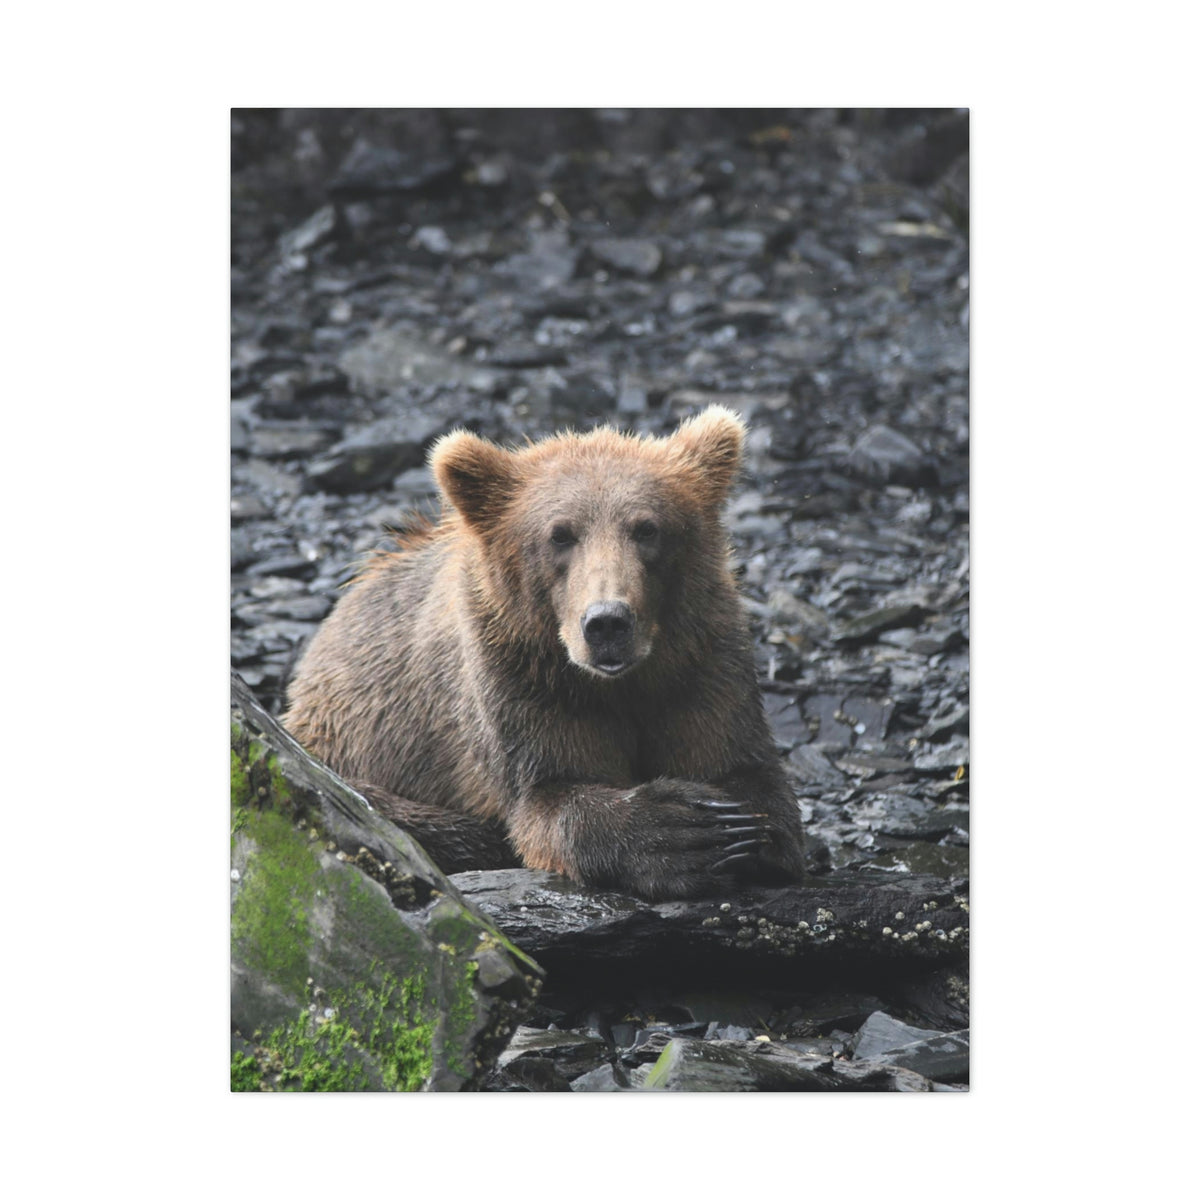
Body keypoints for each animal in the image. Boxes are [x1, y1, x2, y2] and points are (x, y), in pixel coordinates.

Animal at [283, 406, 806, 900]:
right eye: (560, 534)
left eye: (647, 529)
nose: (607, 623)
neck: (619, 683)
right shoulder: (521, 679)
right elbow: (549, 795)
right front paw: (681, 831)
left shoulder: (700, 661)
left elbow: (743, 768)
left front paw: (737, 828)